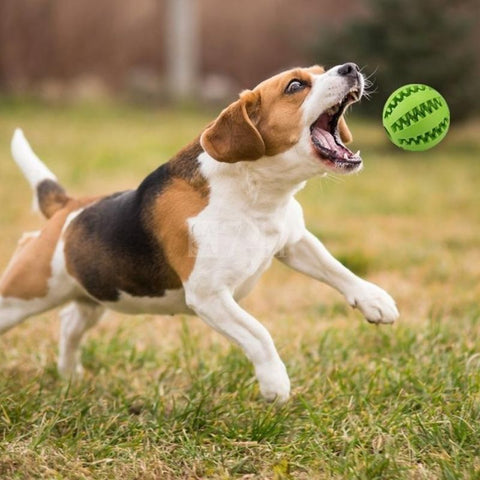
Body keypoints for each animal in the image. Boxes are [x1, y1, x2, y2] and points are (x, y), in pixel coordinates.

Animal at [0, 62, 398, 402]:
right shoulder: (210, 296)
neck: (256, 194)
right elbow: (259, 333)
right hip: (22, 295)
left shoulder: (294, 241)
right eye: (296, 86)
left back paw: (69, 375)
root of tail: (66, 208)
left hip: (96, 295)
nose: (350, 68)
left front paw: (375, 300)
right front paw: (275, 382)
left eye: (320, 70)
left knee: (69, 322)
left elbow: (337, 269)